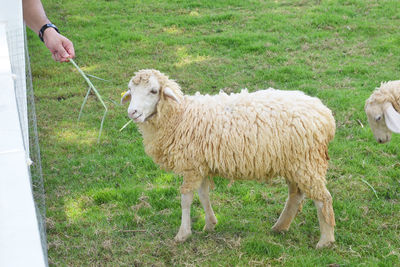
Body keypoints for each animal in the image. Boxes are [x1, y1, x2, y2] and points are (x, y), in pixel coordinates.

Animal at [121, 69, 338, 249]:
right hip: (294, 163)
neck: (180, 116)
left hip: (307, 161)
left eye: (153, 91)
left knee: (323, 198)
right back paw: (280, 227)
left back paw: (325, 241)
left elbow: (186, 199)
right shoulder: (201, 165)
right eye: (131, 90)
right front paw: (210, 224)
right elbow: (203, 194)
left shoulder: (192, 166)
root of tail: (326, 115)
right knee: (296, 195)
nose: (132, 112)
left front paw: (183, 234)